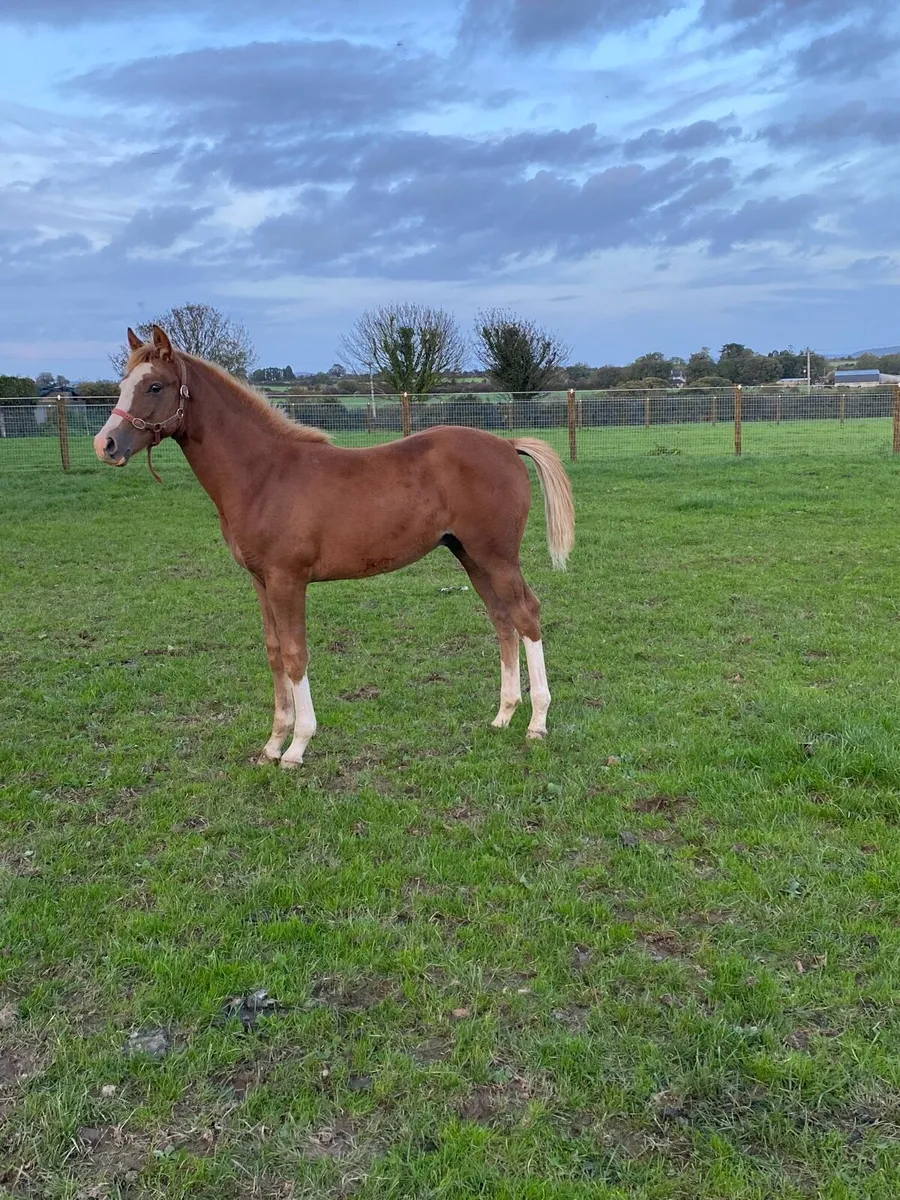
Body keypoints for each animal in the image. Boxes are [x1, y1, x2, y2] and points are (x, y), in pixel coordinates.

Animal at [94, 325, 575, 768]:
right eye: (122, 383)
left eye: (155, 386)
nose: (106, 444)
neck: (264, 475)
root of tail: (508, 445)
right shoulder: (261, 581)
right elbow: (274, 652)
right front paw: (273, 743)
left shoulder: (288, 580)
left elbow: (295, 655)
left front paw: (297, 747)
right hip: (471, 556)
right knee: (502, 620)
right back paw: (504, 715)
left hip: (497, 556)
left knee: (527, 615)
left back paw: (537, 723)